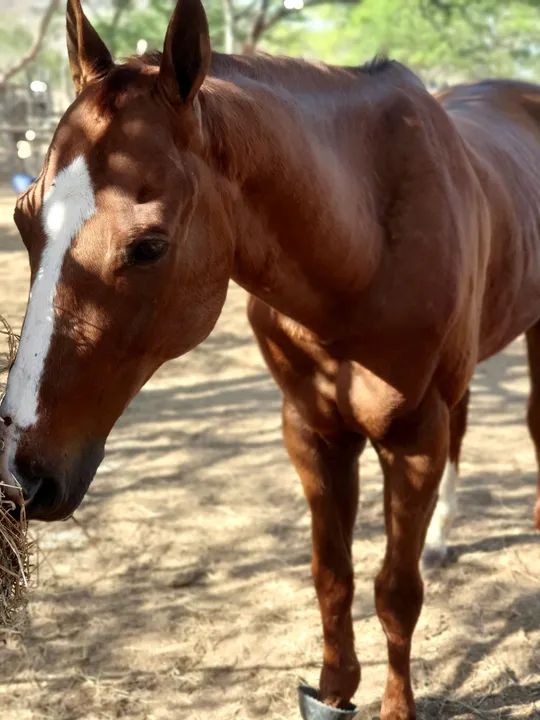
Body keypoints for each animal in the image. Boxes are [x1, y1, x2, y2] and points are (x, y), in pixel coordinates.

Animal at [1, 0, 540, 717]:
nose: (21, 477)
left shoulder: (412, 440)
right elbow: (332, 574)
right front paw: (336, 688)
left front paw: (396, 704)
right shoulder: (312, 431)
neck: (369, 240)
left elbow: (396, 591)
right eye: (23, 216)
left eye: (148, 245)